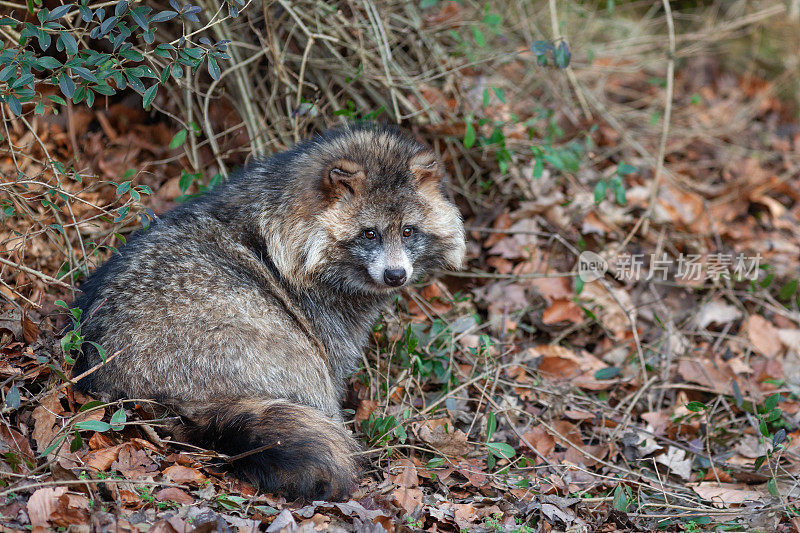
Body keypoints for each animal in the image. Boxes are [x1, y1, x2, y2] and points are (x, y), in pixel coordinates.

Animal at [73, 124, 468, 498]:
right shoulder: (322, 320)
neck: (285, 225)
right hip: (253, 339)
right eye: (369, 234)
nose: (396, 275)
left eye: (408, 231)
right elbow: (333, 374)